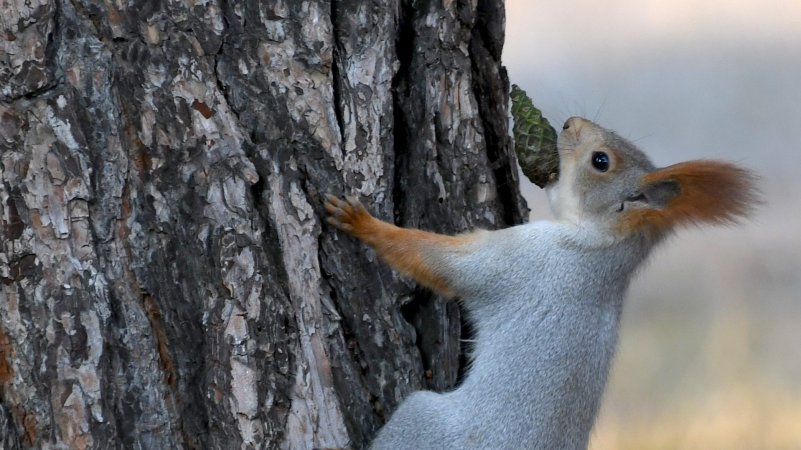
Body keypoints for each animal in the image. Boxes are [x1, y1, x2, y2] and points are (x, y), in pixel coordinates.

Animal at [324, 117, 756, 450]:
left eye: (601, 161)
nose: (569, 122)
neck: (597, 251)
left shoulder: (521, 263)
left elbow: (439, 262)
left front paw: (362, 223)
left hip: (422, 422)